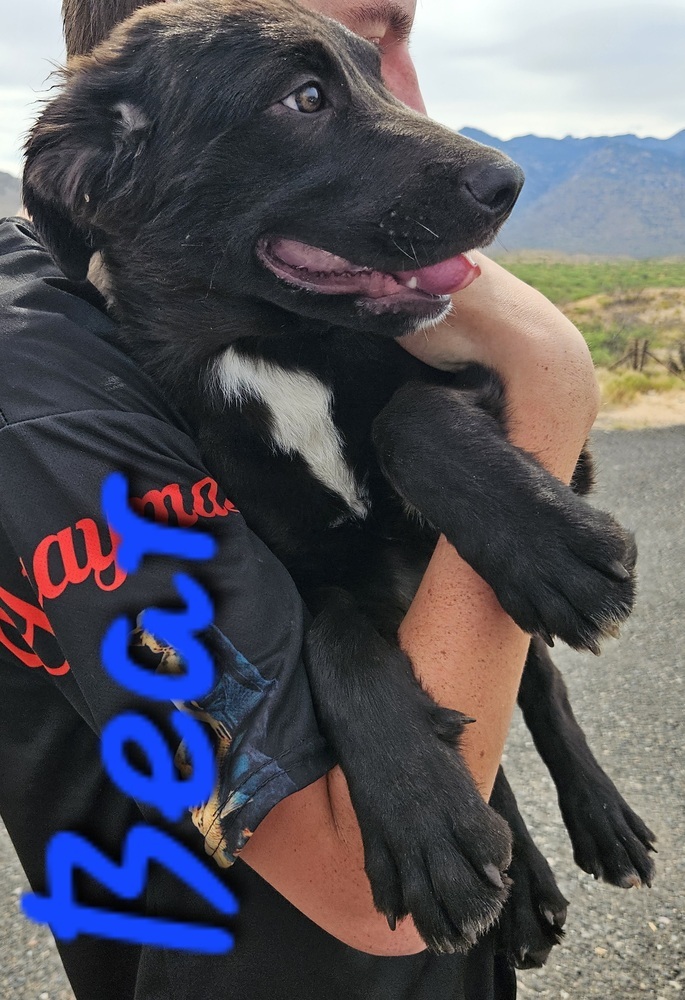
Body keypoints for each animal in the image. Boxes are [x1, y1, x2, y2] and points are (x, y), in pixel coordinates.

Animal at [22, 0, 652, 956]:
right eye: (305, 97)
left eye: (377, 72)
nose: (507, 182)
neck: (269, 351)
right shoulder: (309, 573)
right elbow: (330, 637)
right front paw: (424, 822)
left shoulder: (547, 442)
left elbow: (408, 415)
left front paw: (551, 545)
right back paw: (520, 887)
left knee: (540, 683)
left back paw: (600, 814)